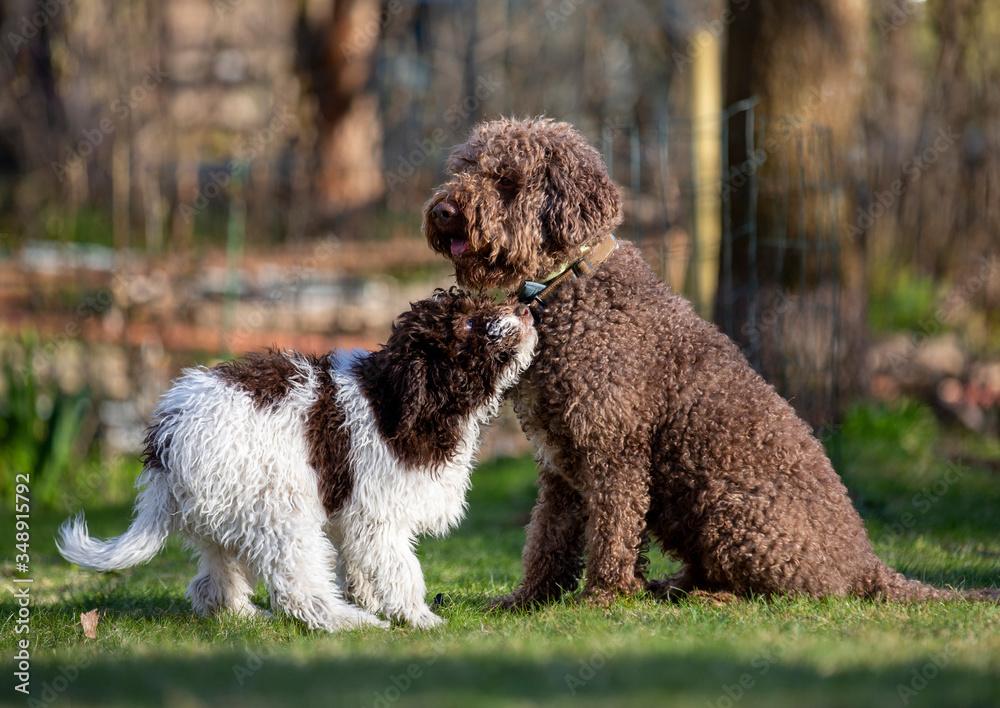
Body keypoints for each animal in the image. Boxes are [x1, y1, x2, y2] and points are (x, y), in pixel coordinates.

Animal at [58, 288, 536, 632]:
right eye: (469, 323)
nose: (527, 309)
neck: (397, 396)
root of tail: (166, 439)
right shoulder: (376, 515)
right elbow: (399, 568)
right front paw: (418, 617)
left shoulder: (353, 517)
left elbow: (362, 566)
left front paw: (372, 598)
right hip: (279, 509)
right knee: (298, 589)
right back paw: (349, 622)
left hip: (221, 512)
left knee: (212, 581)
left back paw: (244, 616)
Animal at [420, 117, 992, 608]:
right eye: (465, 166)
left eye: (506, 179)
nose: (444, 210)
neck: (567, 287)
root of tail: (866, 564)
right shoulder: (558, 461)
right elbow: (547, 539)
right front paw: (527, 599)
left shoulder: (613, 452)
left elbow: (612, 531)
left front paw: (604, 597)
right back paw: (669, 586)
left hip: (724, 505)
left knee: (782, 592)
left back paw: (706, 596)